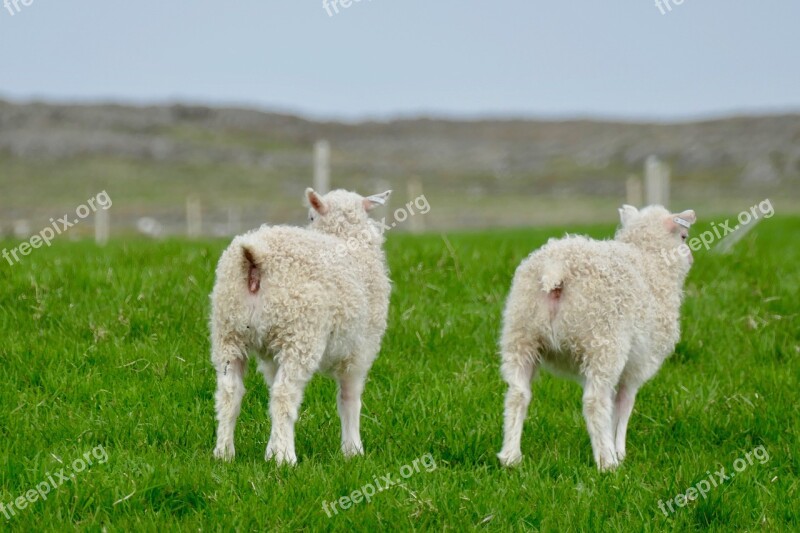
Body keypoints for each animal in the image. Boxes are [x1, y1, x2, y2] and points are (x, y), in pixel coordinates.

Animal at [209, 187, 390, 466]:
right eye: (311, 216)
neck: (344, 236)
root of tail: (255, 258)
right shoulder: (361, 350)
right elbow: (349, 399)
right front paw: (353, 450)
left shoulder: (272, 355)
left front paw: (271, 450)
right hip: (300, 335)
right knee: (285, 394)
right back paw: (287, 459)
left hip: (228, 332)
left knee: (230, 393)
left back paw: (224, 453)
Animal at [496, 204, 696, 470]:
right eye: (683, 236)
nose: (691, 257)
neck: (649, 259)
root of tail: (556, 268)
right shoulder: (637, 366)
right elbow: (623, 405)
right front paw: (619, 451)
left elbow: (614, 407)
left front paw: (612, 444)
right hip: (605, 343)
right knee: (594, 401)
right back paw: (607, 462)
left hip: (521, 335)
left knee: (517, 395)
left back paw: (511, 457)